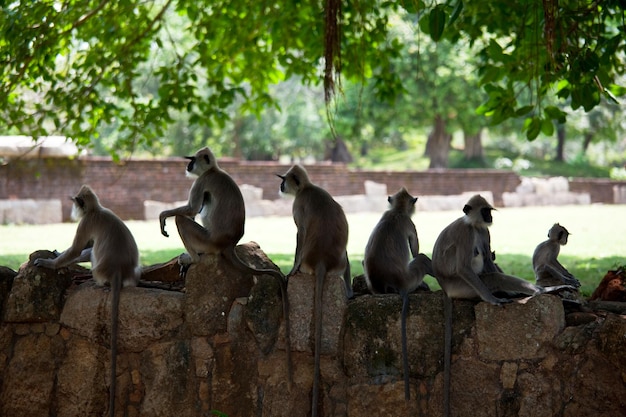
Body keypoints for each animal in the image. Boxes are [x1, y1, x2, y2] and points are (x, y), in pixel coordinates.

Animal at [33, 184, 140, 416]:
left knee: (92, 251)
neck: (97, 209)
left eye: (76, 202)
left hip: (98, 270)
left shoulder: (86, 221)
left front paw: (49, 262)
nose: (73, 208)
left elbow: (76, 249)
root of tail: (118, 271)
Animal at [157, 146, 292, 384]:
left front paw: (164, 215)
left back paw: (193, 258)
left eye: (192, 160)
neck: (214, 170)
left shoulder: (202, 180)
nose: (188, 165)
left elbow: (191, 210)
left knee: (182, 219)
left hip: (206, 240)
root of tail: (228, 243)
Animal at [360, 188, 434, 400]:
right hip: (410, 279)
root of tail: (394, 284)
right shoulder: (409, 223)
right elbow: (416, 250)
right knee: (421, 259)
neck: (397, 211)